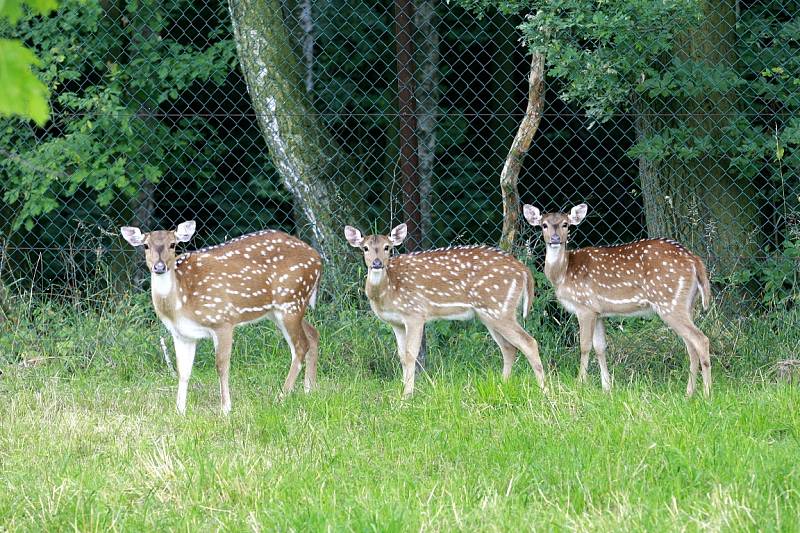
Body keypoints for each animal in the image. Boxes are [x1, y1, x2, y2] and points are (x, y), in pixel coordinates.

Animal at [120, 220, 320, 412]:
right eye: (146, 245)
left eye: (173, 244)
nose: (159, 267)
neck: (181, 304)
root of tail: (318, 258)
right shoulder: (181, 334)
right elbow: (183, 371)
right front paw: (179, 411)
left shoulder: (222, 320)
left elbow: (221, 366)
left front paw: (225, 409)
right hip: (280, 310)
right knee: (313, 333)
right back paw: (308, 390)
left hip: (290, 301)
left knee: (300, 346)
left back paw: (281, 397)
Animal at [344, 222, 544, 396]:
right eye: (365, 248)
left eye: (387, 247)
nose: (377, 263)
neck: (388, 291)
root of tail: (524, 270)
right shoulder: (396, 323)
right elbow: (401, 356)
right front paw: (403, 391)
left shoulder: (415, 313)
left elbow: (411, 355)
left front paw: (407, 396)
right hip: (490, 314)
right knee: (509, 348)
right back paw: (503, 386)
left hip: (499, 309)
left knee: (529, 342)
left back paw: (544, 392)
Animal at [524, 203, 712, 394]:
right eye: (544, 225)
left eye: (565, 224)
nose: (555, 239)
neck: (563, 273)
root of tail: (695, 261)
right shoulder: (599, 312)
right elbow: (600, 347)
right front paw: (607, 387)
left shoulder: (585, 306)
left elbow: (585, 346)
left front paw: (580, 384)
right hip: (686, 304)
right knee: (691, 346)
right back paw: (689, 393)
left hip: (669, 303)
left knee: (701, 340)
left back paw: (707, 393)